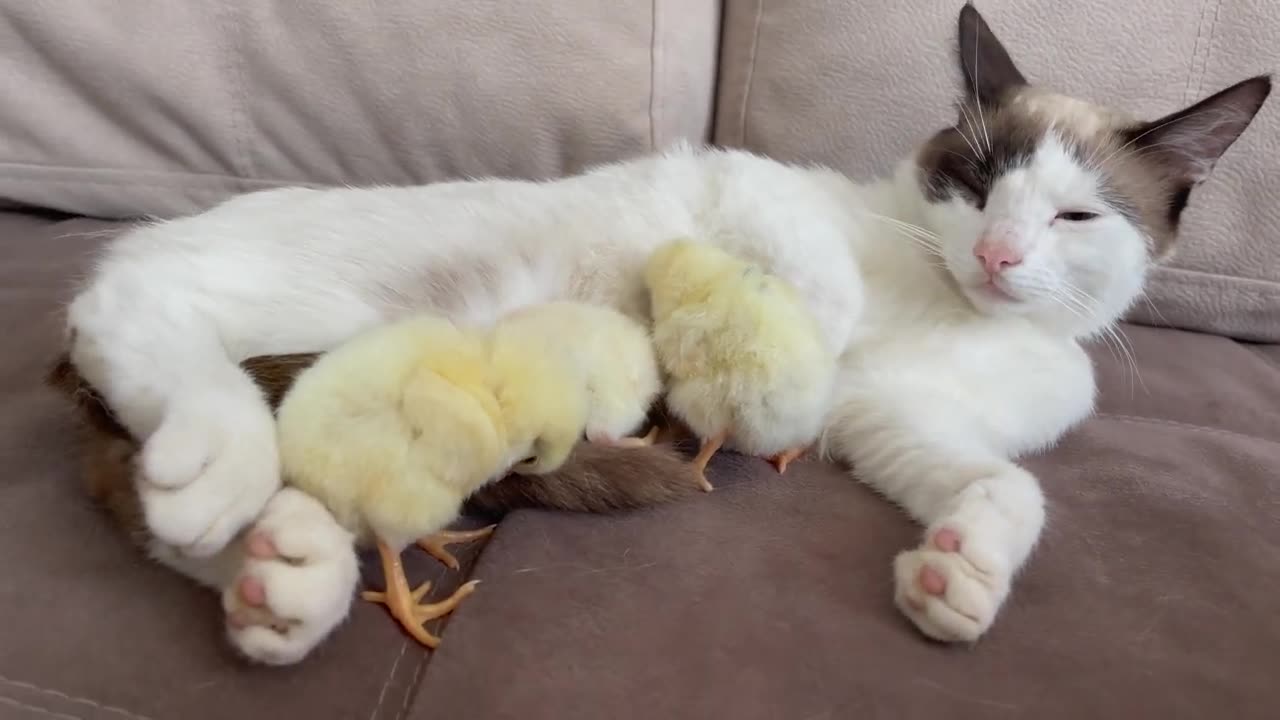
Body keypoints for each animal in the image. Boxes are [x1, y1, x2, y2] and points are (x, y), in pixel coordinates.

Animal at [57, 4, 1269, 666]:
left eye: (1075, 217)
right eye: (977, 181)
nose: (1001, 257)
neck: (946, 311)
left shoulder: (894, 420)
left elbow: (1002, 487)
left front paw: (959, 577)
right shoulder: (753, 187)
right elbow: (820, 301)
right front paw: (776, 371)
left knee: (182, 499)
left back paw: (282, 577)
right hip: (302, 298)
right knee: (128, 304)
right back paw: (215, 459)